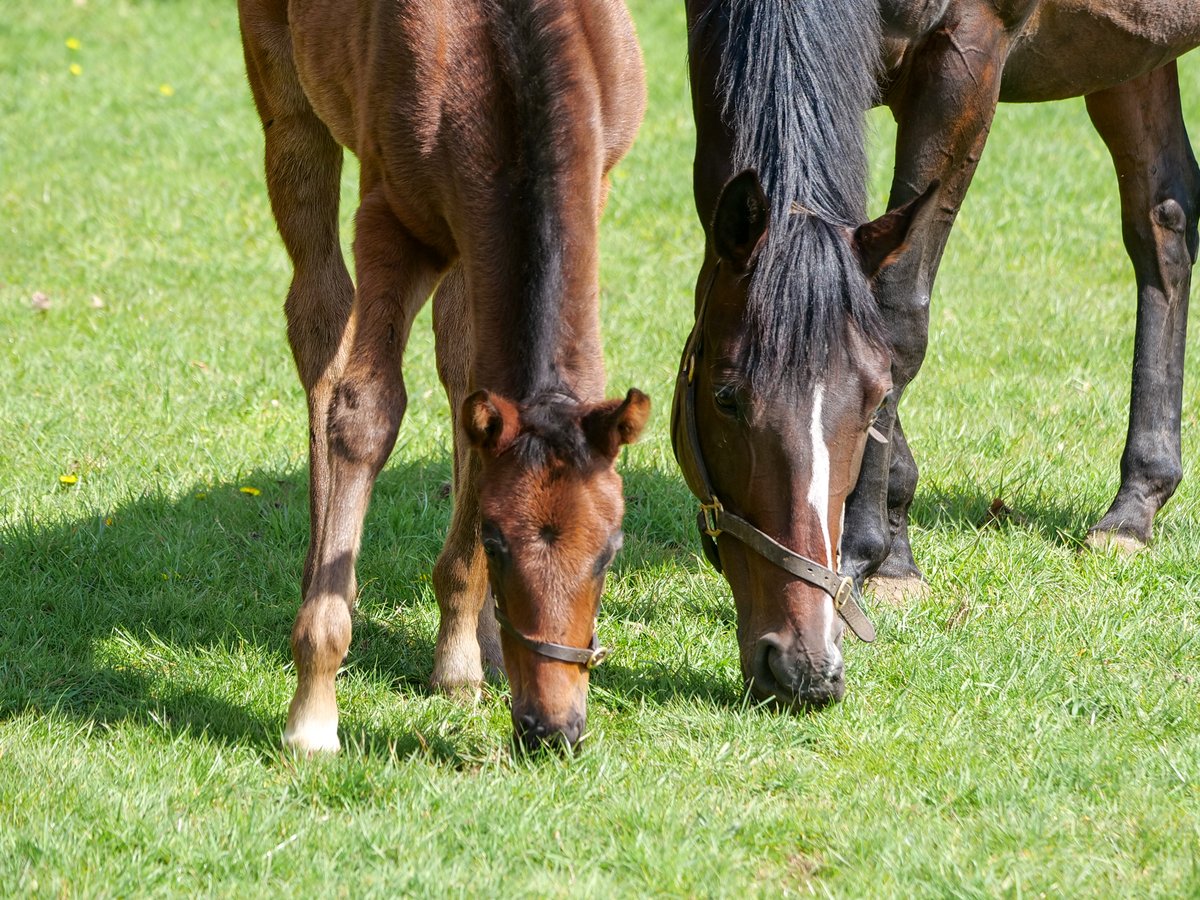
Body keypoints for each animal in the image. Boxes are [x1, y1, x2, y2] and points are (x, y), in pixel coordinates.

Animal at [238, 0, 647, 752]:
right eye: (499, 544)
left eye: (611, 552)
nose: (552, 728)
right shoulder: (391, 216)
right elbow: (365, 413)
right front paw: (312, 712)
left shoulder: (593, 183)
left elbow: (478, 393)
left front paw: (458, 656)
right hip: (290, 99)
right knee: (319, 312)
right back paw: (323, 576)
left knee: (459, 362)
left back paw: (475, 646)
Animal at [677, 0, 1200, 707]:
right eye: (725, 397)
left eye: (872, 399)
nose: (805, 667)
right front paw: (893, 547)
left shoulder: (966, 61)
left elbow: (898, 313)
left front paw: (871, 552)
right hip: (1130, 55)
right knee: (1162, 221)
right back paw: (1133, 509)